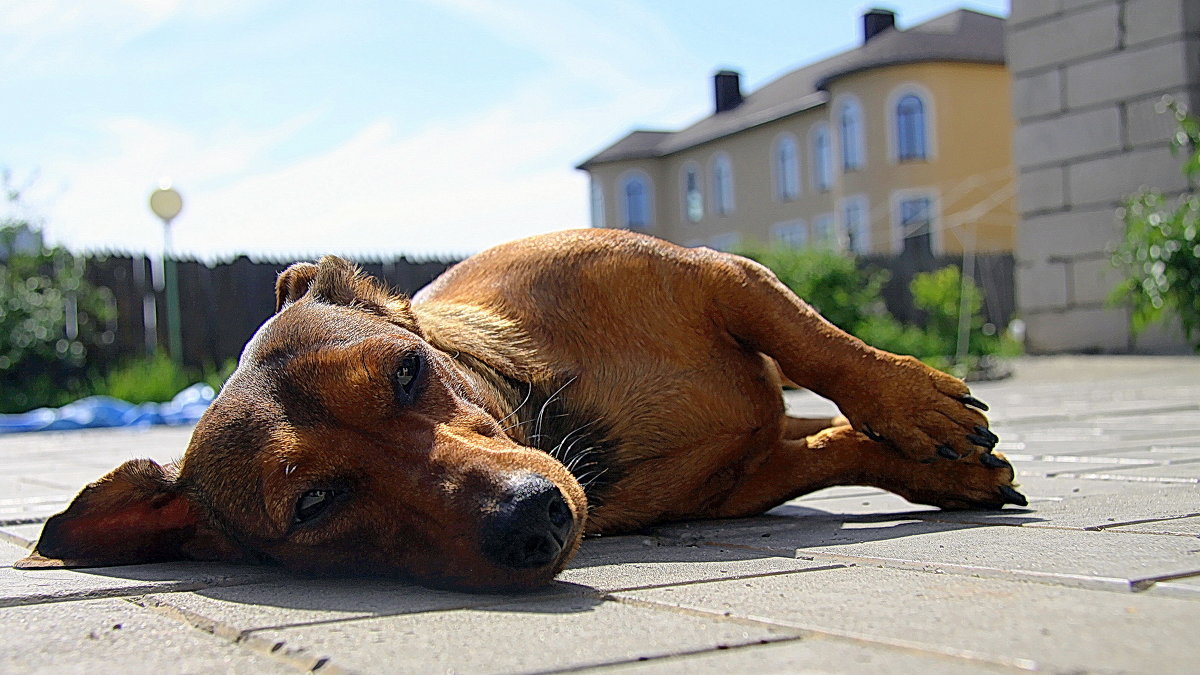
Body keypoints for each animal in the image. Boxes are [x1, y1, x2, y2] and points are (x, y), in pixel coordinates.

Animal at [18, 228, 1022, 586]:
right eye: (312, 503)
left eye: (408, 374)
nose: (532, 519)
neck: (572, 425)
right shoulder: (749, 478)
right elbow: (839, 443)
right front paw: (932, 453)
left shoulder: (722, 276)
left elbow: (825, 348)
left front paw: (920, 407)